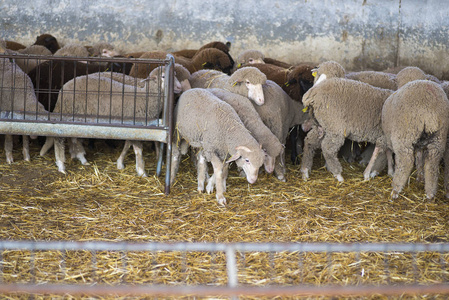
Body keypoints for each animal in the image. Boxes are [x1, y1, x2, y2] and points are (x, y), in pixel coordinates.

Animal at [364, 67, 448, 200]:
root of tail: (428, 112)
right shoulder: (420, 143)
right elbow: (419, 156)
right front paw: (420, 176)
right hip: (438, 138)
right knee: (431, 164)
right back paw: (430, 193)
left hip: (405, 135)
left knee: (406, 161)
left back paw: (395, 190)